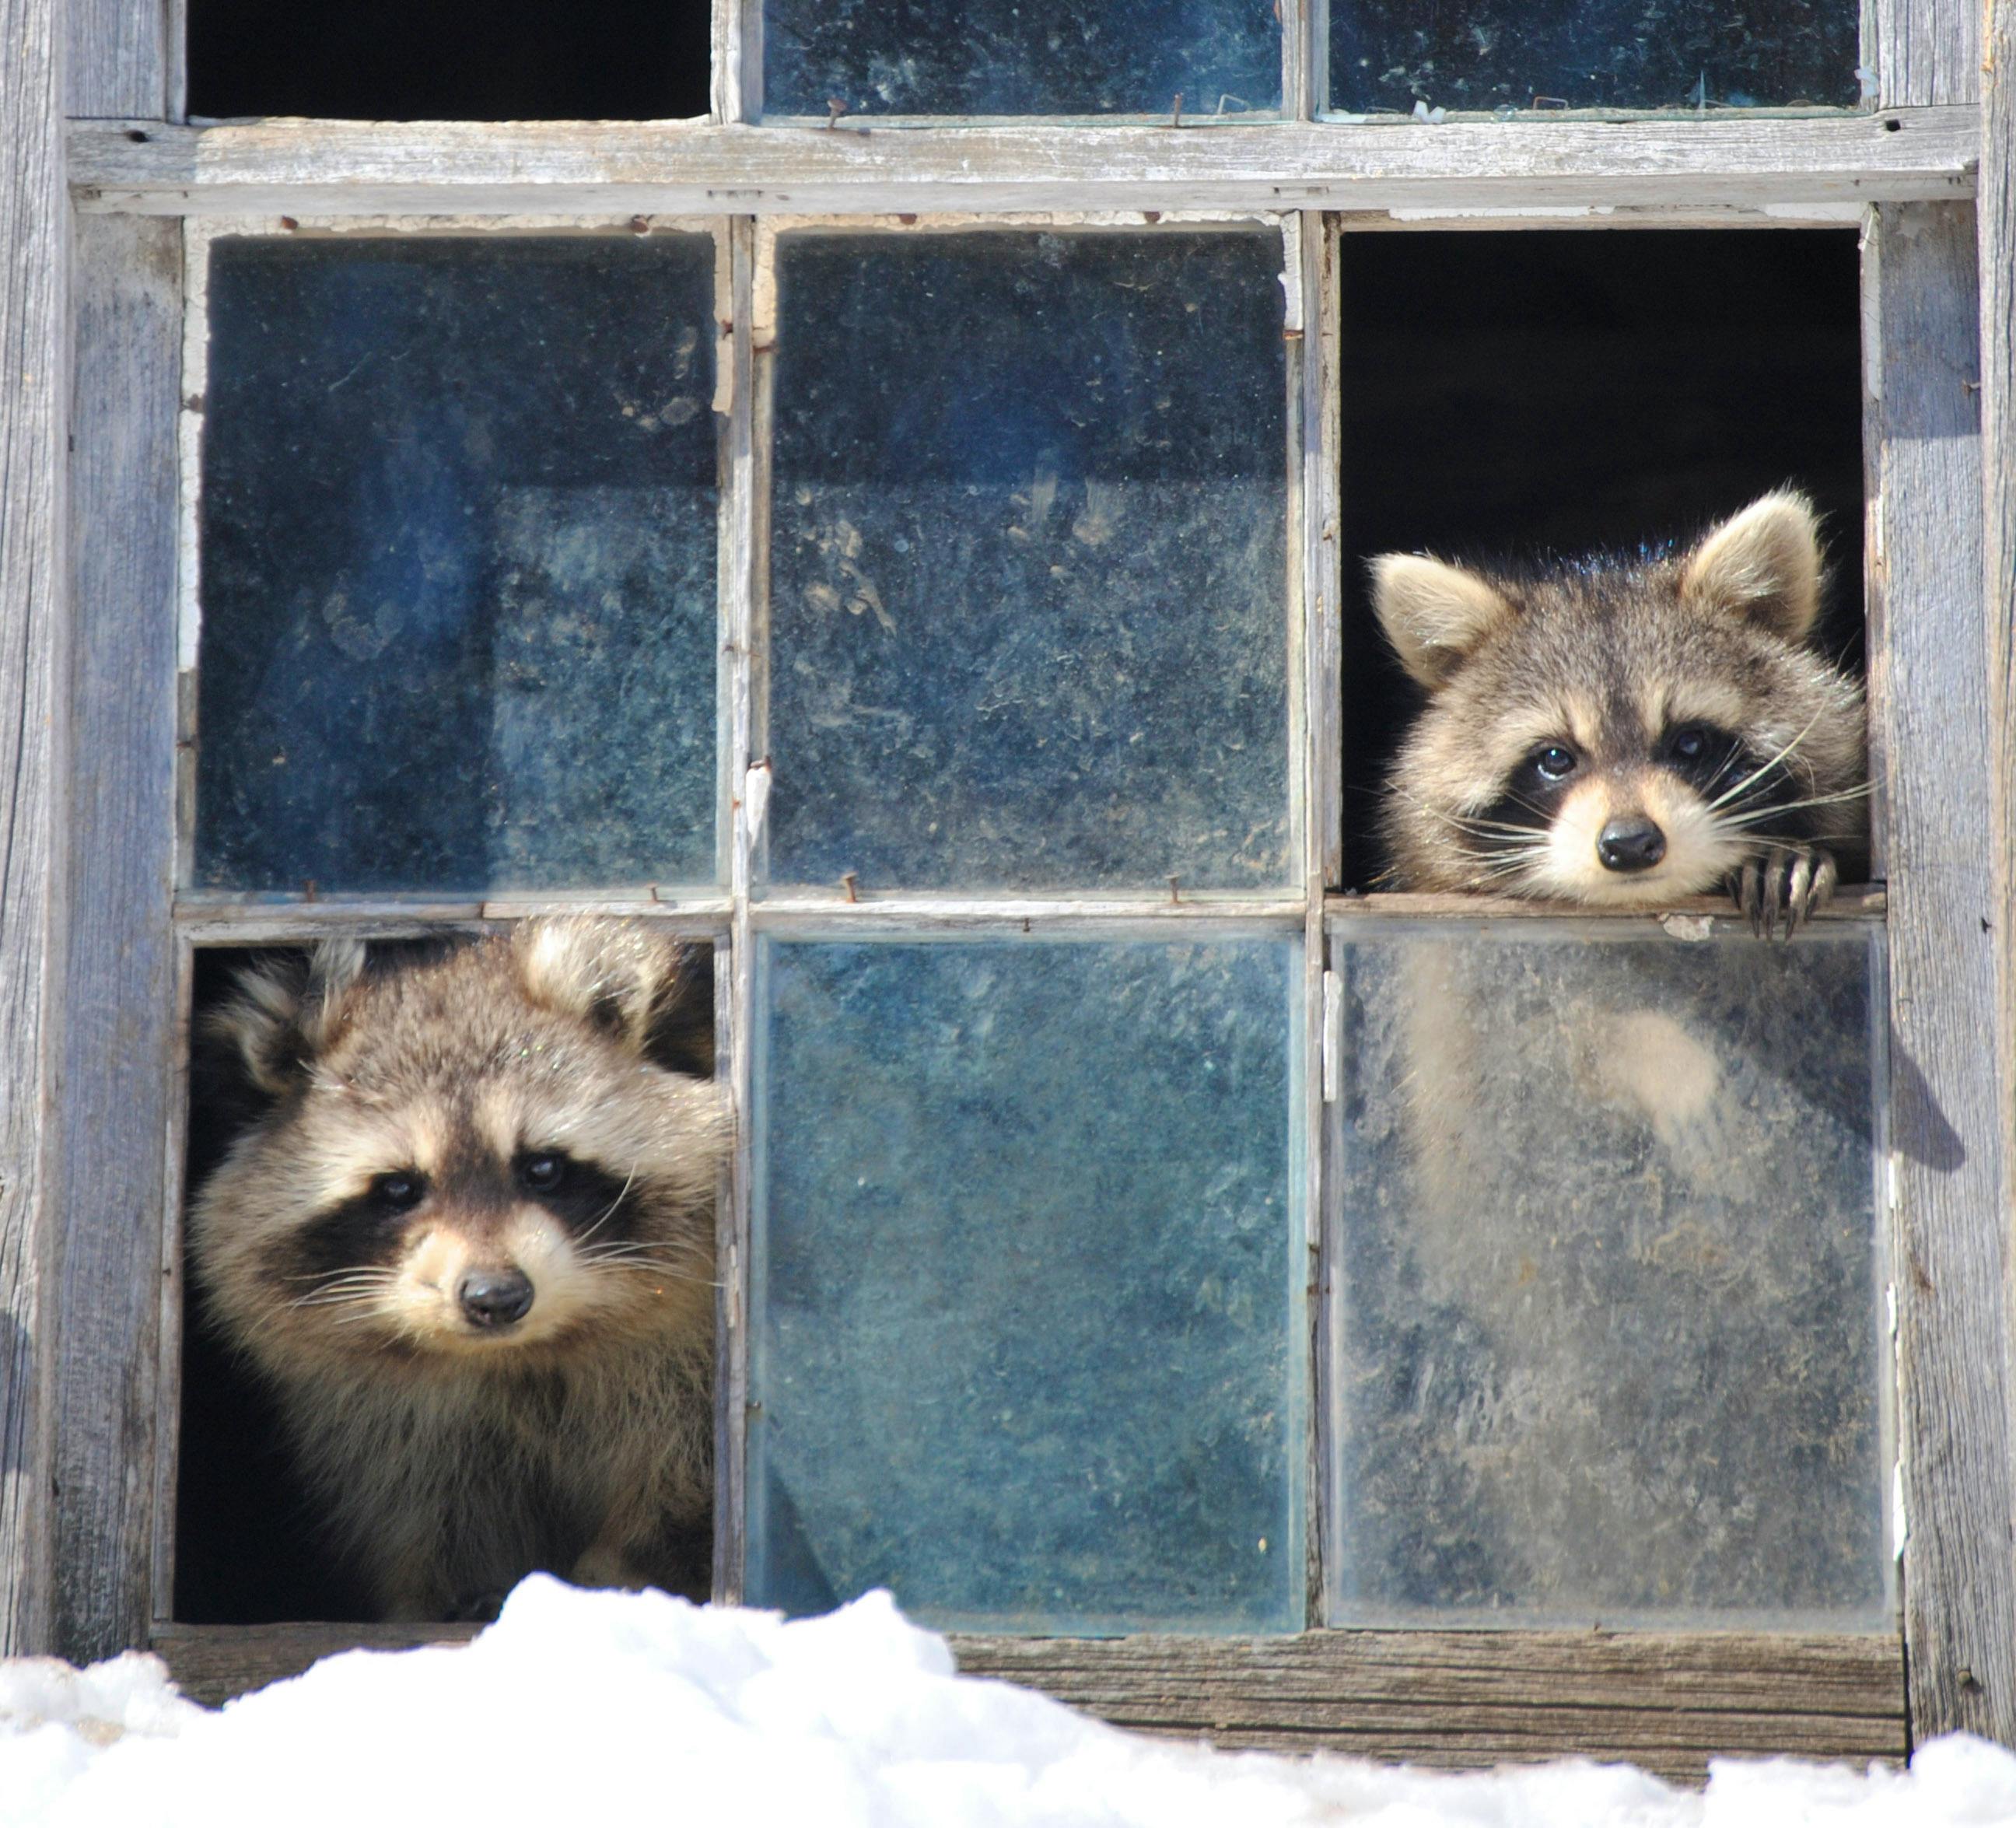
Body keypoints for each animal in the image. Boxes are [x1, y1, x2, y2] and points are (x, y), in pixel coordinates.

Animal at [189, 918, 730, 1622]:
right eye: (398, 1188)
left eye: (543, 1168)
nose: (495, 1296)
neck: (523, 1356)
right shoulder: (394, 1419)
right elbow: (431, 1507)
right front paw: (463, 1591)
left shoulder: (683, 1365)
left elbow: (688, 1478)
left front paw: (639, 1560)